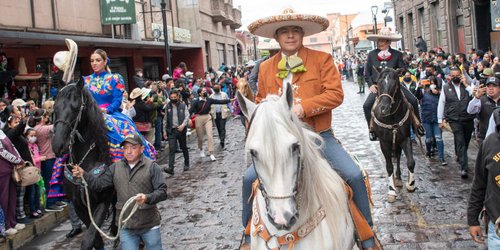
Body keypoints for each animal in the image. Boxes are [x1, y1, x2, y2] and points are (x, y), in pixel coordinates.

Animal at [52, 80, 115, 250]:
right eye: (55, 109)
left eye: (75, 108)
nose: (57, 145)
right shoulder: (79, 206)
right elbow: (96, 240)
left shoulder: (103, 201)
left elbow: (88, 239)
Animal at [372, 68, 418, 203]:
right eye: (378, 83)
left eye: (395, 84)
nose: (383, 108)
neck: (391, 117)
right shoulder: (384, 142)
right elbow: (389, 167)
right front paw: (391, 191)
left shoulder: (405, 138)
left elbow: (410, 162)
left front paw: (411, 184)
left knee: (397, 157)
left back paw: (398, 179)